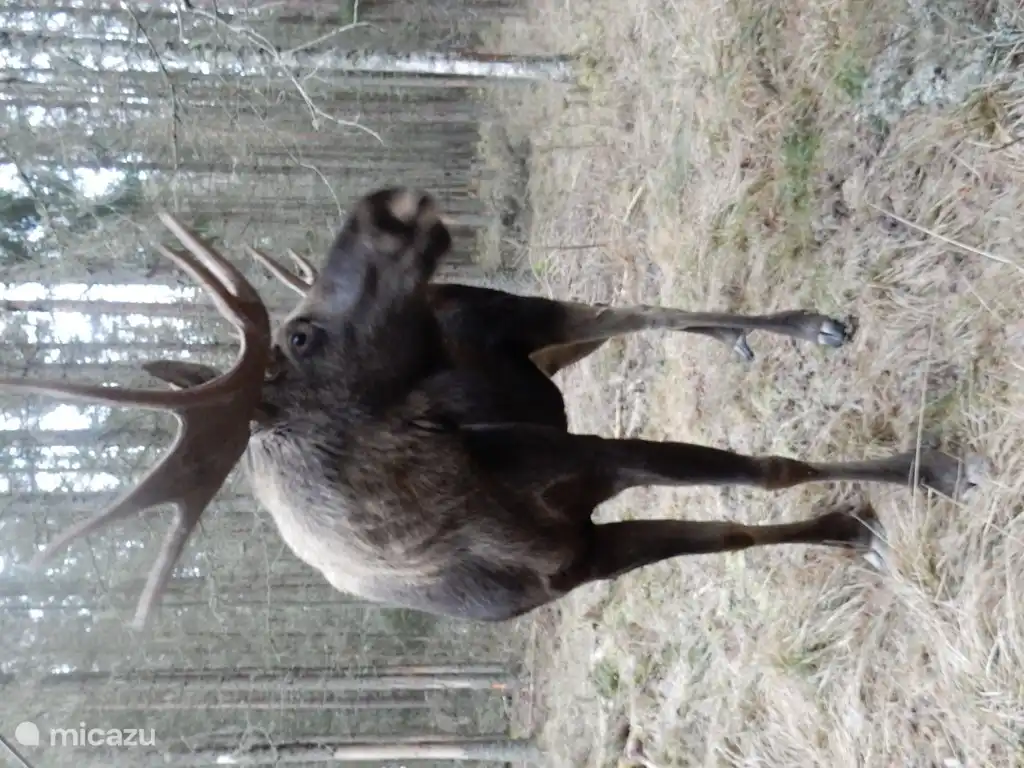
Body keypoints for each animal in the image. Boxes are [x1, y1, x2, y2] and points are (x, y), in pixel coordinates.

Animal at [1, 187, 986, 630]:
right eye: (305, 336)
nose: (383, 211)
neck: (456, 529)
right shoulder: (588, 557)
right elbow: (739, 526)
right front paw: (854, 523)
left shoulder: (583, 460)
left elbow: (761, 471)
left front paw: (926, 470)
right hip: (541, 361)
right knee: (634, 318)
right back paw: (755, 339)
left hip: (521, 315)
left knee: (636, 309)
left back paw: (806, 326)